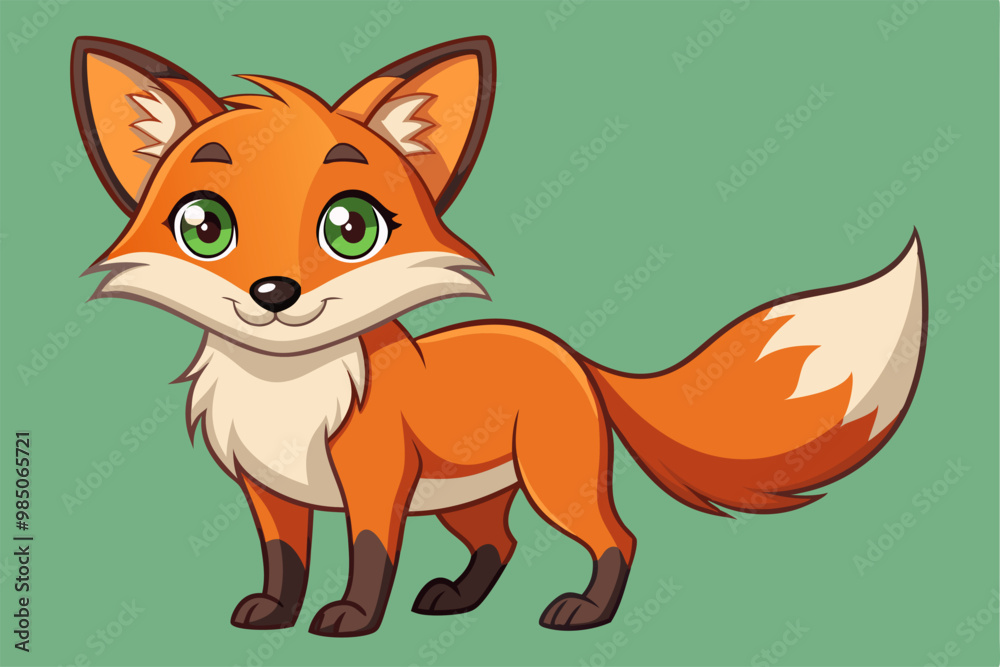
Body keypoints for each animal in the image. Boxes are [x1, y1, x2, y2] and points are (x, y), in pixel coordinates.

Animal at [72, 35, 927, 636]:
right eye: (204, 227)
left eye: (350, 228)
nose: (275, 293)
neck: (285, 390)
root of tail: (570, 352)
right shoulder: (268, 490)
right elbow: (285, 562)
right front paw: (273, 614)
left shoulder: (375, 481)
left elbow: (368, 556)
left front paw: (350, 621)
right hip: (468, 497)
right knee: (502, 544)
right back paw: (456, 598)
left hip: (554, 481)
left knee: (617, 537)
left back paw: (584, 612)